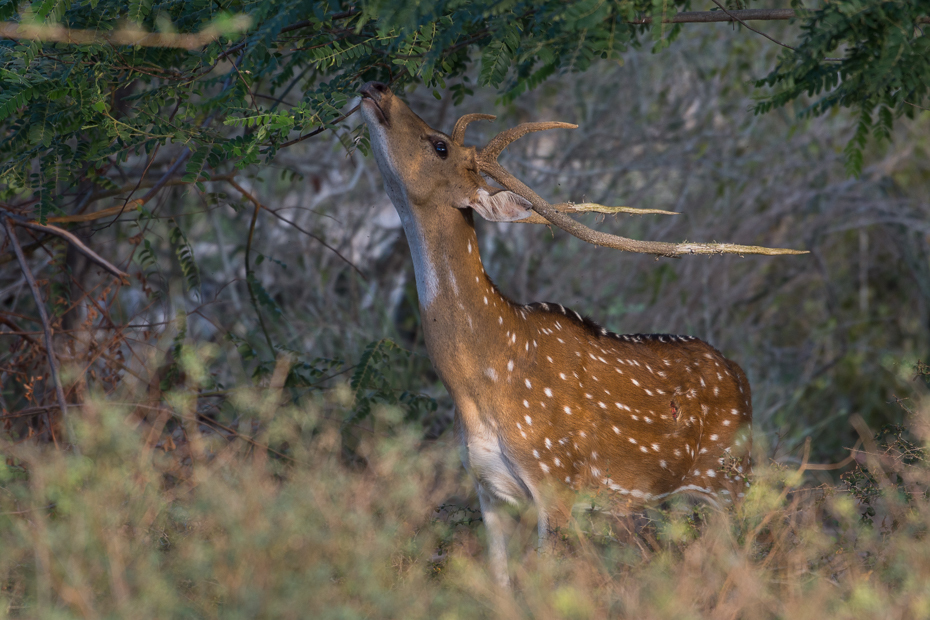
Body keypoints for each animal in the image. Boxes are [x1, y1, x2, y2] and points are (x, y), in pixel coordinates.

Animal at [358, 81, 800, 588]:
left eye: (439, 145)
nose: (377, 87)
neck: (477, 387)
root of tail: (740, 375)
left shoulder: (557, 481)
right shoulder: (486, 487)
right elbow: (502, 582)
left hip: (733, 480)